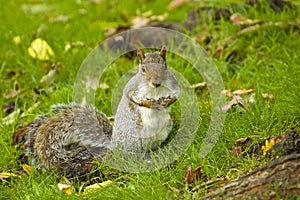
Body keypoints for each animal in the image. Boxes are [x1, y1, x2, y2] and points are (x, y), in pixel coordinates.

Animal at [12, 46, 179, 177]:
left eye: (165, 66)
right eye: (143, 69)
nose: (156, 83)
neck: (155, 90)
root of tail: (113, 143)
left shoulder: (173, 84)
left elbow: (176, 95)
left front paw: (166, 102)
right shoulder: (133, 87)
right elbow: (132, 97)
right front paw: (148, 103)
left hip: (166, 127)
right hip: (136, 138)